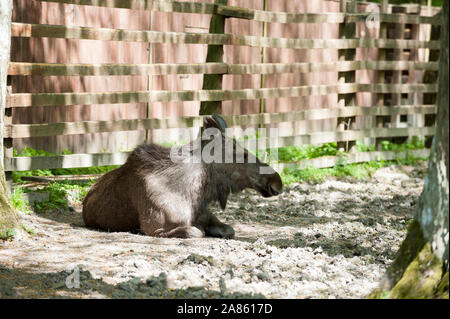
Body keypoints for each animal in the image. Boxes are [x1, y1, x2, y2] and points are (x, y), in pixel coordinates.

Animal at [81, 114, 282, 239]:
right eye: (242, 154)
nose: (277, 182)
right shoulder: (155, 228)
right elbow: (196, 232)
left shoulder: (205, 213)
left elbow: (229, 229)